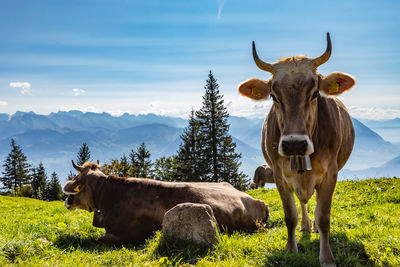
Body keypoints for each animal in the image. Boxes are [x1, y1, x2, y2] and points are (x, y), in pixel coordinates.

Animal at [62, 161, 268, 245]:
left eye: (77, 178)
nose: (67, 200)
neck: (109, 195)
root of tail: (258, 201)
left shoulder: (123, 235)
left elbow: (98, 239)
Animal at [238, 32, 354, 266]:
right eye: (273, 96)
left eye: (315, 93)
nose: (294, 144)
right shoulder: (279, 175)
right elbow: (290, 215)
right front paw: (291, 249)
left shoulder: (331, 173)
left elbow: (324, 217)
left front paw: (327, 257)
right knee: (302, 201)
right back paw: (306, 225)